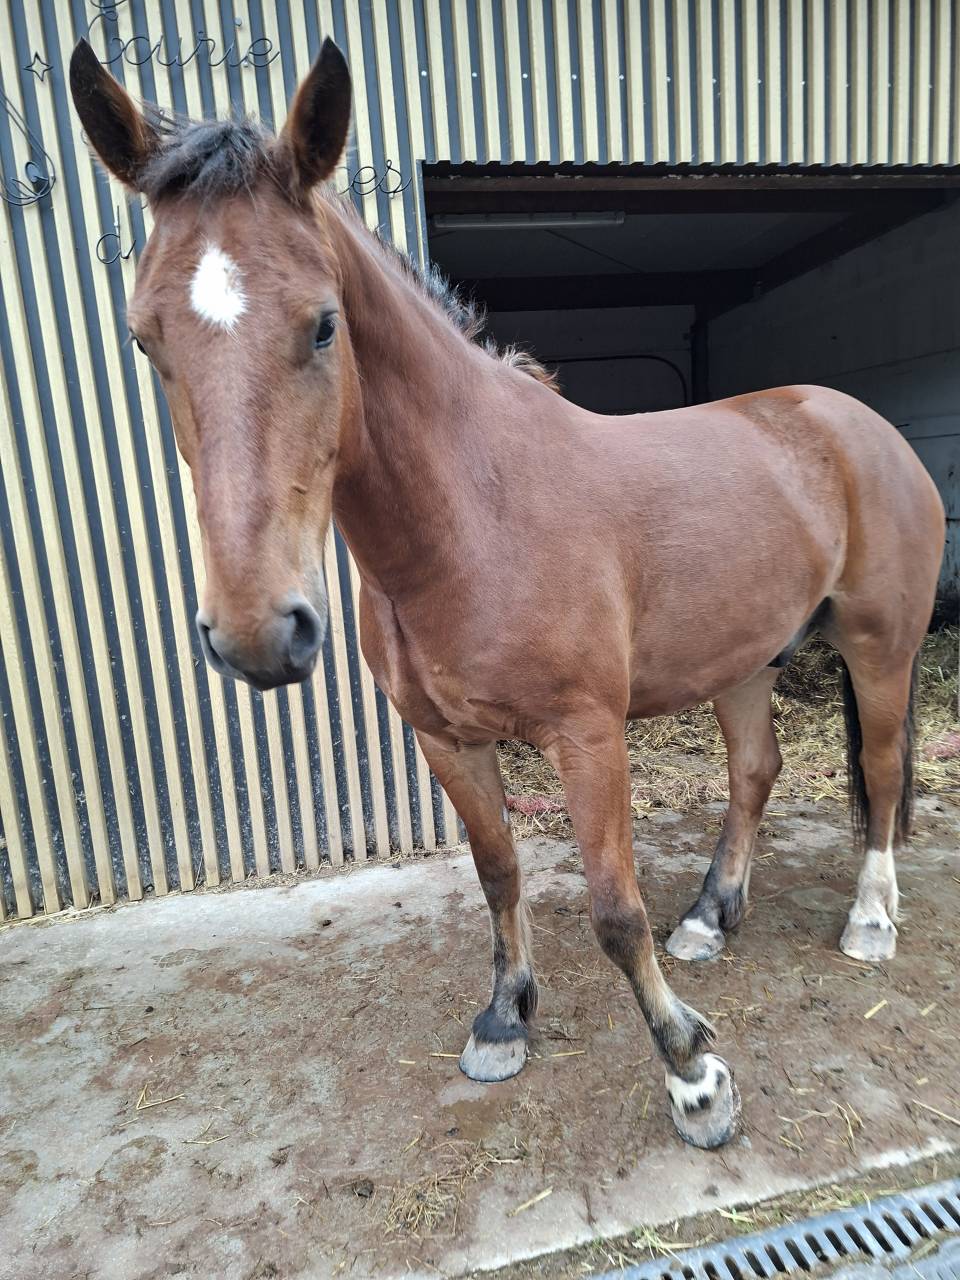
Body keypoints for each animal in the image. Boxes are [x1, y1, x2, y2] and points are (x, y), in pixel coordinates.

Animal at [71, 38, 945, 1151]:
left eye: (324, 325)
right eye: (146, 340)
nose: (260, 636)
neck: (474, 516)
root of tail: (858, 425)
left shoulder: (587, 734)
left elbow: (612, 909)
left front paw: (694, 1076)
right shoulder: (447, 738)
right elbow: (499, 873)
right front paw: (504, 1018)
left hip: (880, 646)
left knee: (877, 772)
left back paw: (869, 920)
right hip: (745, 657)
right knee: (756, 771)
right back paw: (710, 918)